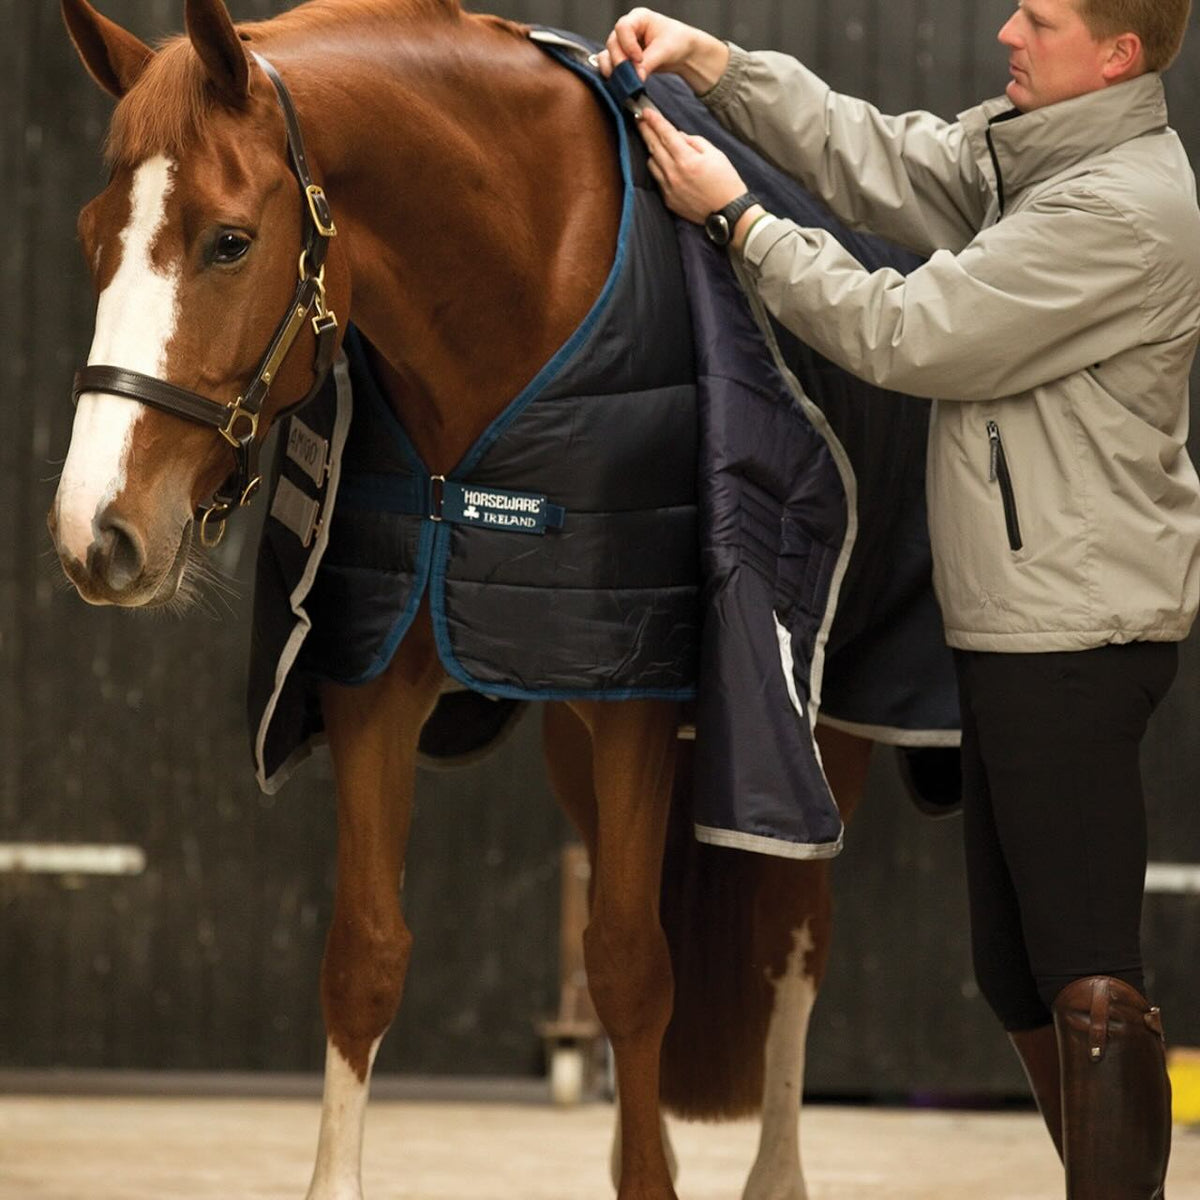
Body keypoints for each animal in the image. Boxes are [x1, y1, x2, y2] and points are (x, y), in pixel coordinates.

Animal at [48, 2, 887, 1197]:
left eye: (229, 242)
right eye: (91, 239)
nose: (95, 534)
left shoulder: (638, 697)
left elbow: (630, 967)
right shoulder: (374, 678)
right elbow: (365, 957)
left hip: (813, 740)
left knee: (790, 935)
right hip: (576, 737)